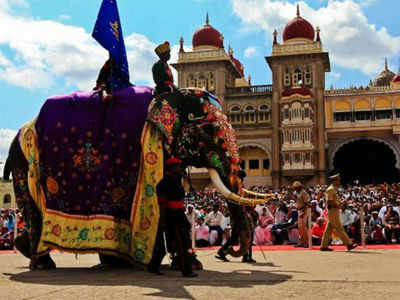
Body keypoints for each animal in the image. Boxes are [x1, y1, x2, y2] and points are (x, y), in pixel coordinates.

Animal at [3, 86, 270, 270]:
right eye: (208, 131)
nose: (227, 252)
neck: (169, 95)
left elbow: (173, 207)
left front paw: (189, 264)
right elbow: (163, 207)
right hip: (23, 163)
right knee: (32, 210)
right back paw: (42, 263)